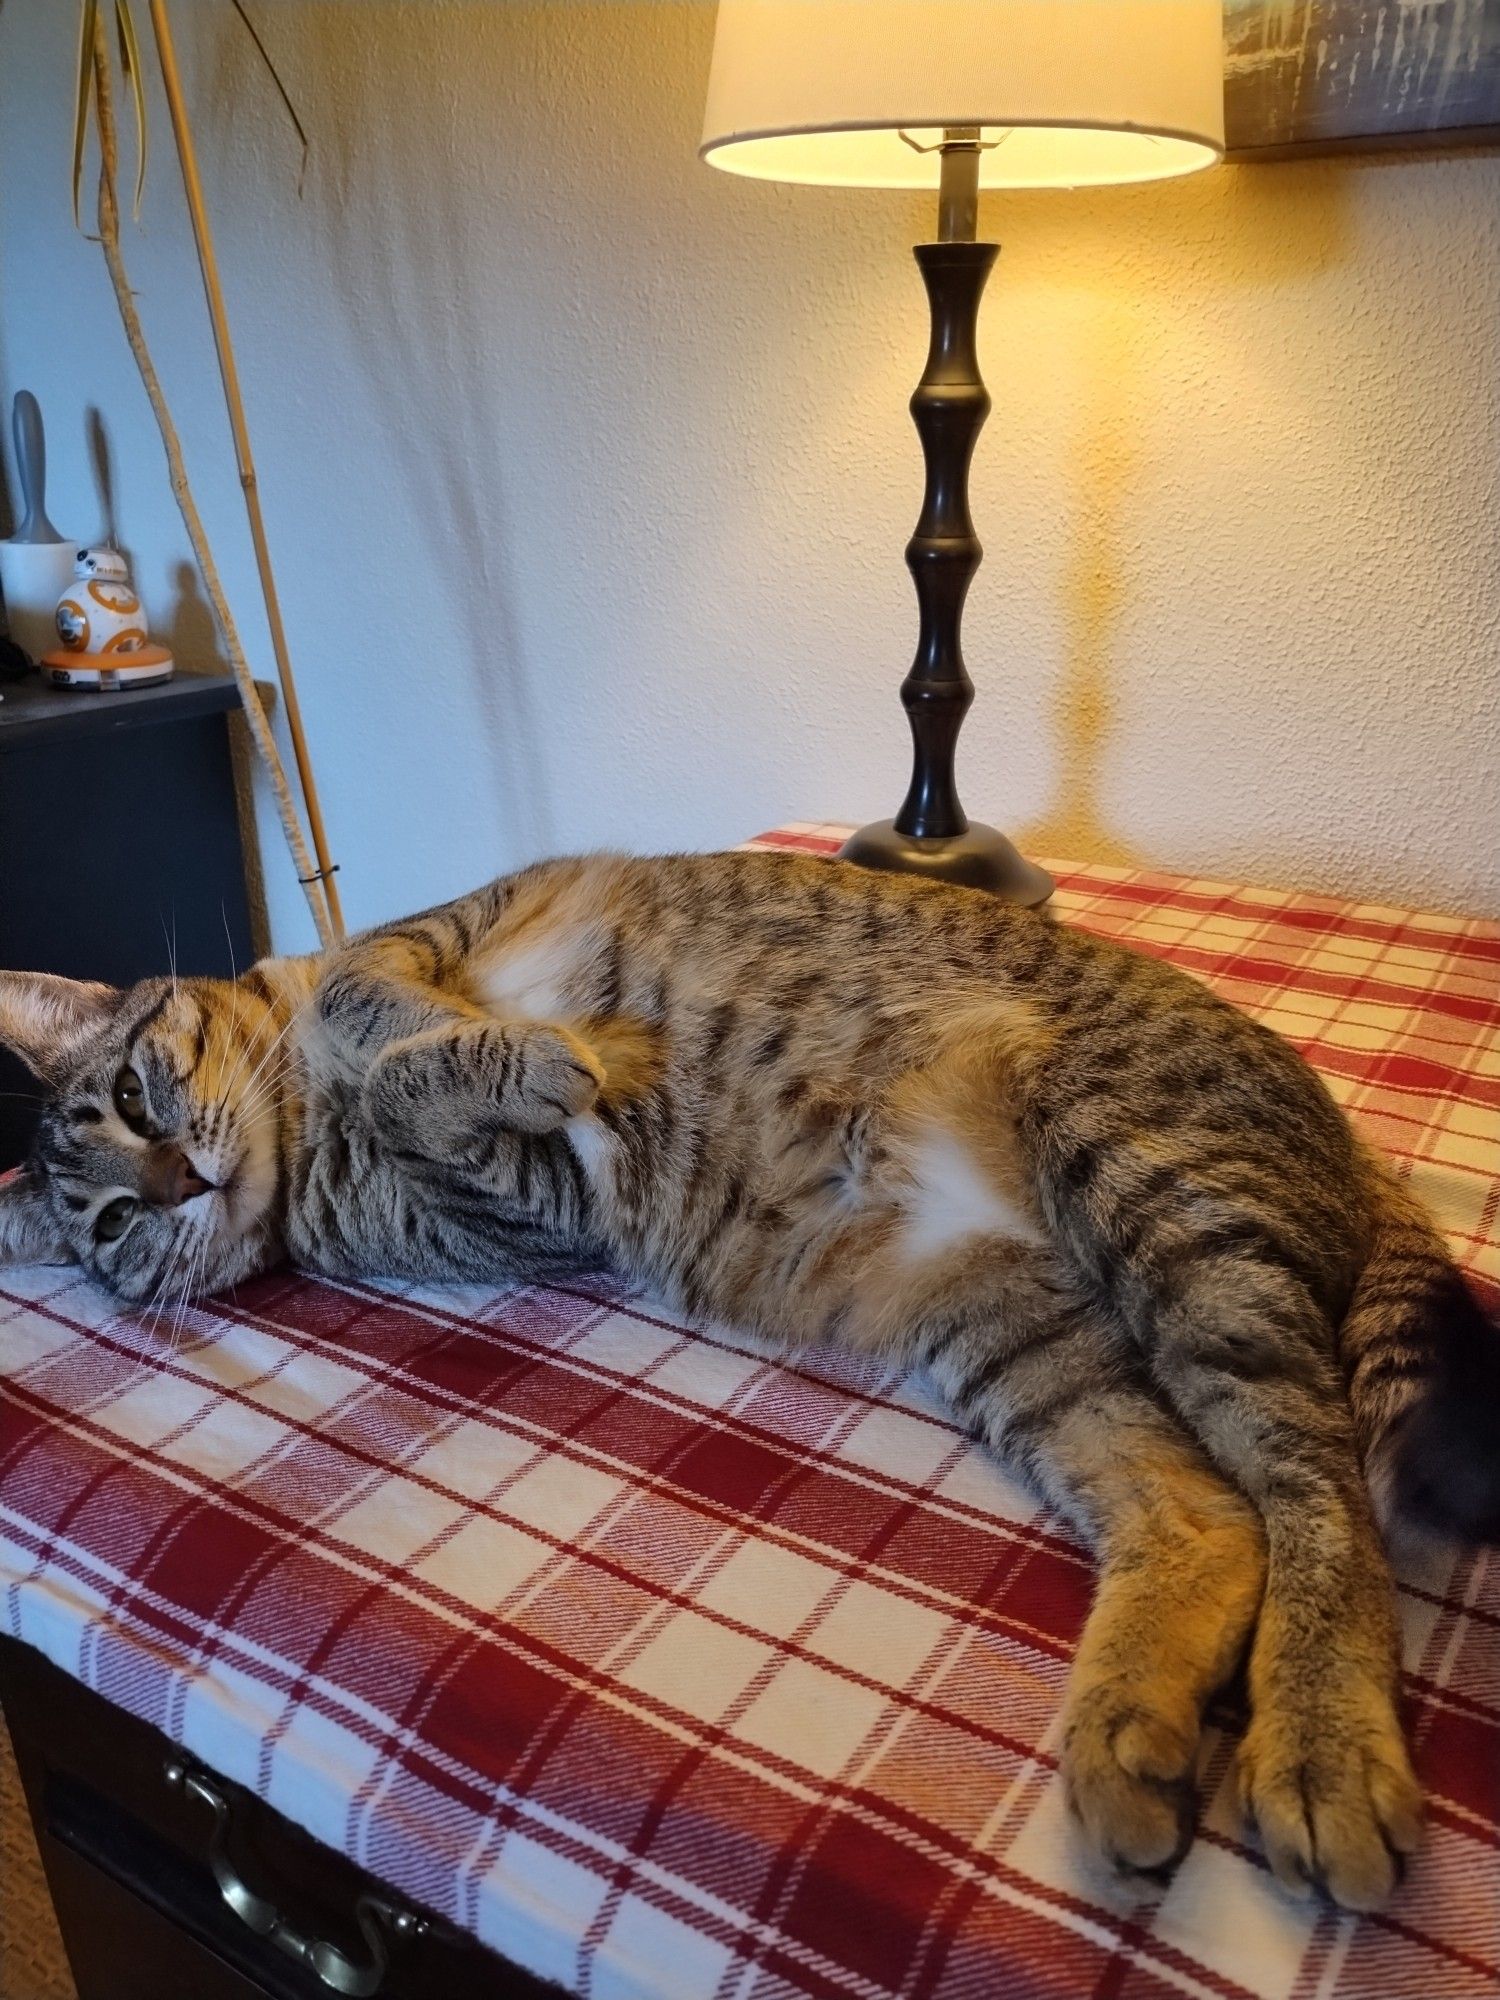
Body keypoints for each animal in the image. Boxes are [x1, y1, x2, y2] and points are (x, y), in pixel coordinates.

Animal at [2, 848, 1500, 1904]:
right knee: (1211, 1513)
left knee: (1318, 1493)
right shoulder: (525, 1208)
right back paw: (1135, 1739)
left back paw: (1317, 1745)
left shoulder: (433, 941)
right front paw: (519, 1062)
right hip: (1012, 1324)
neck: (304, 1125)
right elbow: (428, 1081)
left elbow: (383, 1008)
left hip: (1159, 1184)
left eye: (132, 1097)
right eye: (113, 1227)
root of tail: (1344, 1135)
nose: (175, 1185)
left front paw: (516, 1047)